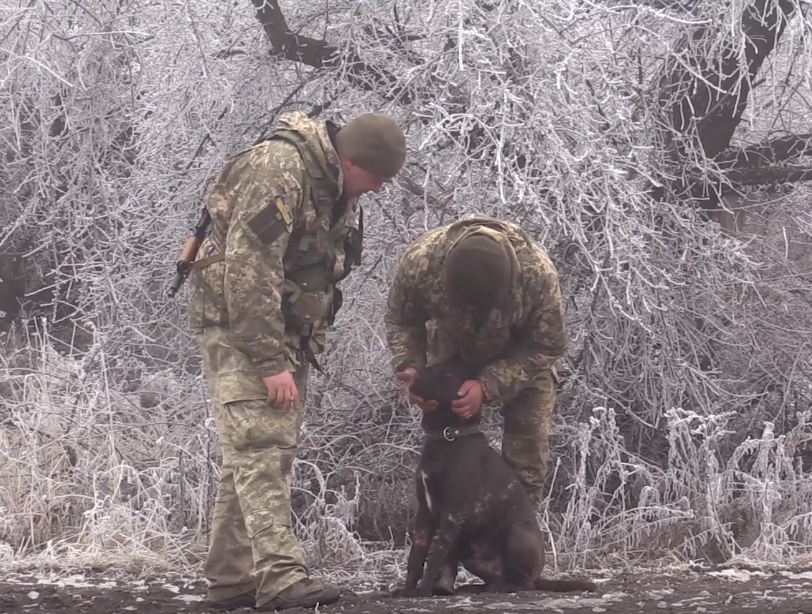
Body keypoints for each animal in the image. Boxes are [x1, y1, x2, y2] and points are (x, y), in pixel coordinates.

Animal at [394, 358, 596, 600]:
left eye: (447, 375)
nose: (412, 376)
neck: (448, 436)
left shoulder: (452, 515)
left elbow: (435, 558)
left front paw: (423, 590)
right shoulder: (424, 513)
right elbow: (415, 558)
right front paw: (407, 589)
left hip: (516, 534)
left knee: (524, 584)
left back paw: (501, 588)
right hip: (470, 554)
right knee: (496, 577)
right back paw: (475, 587)